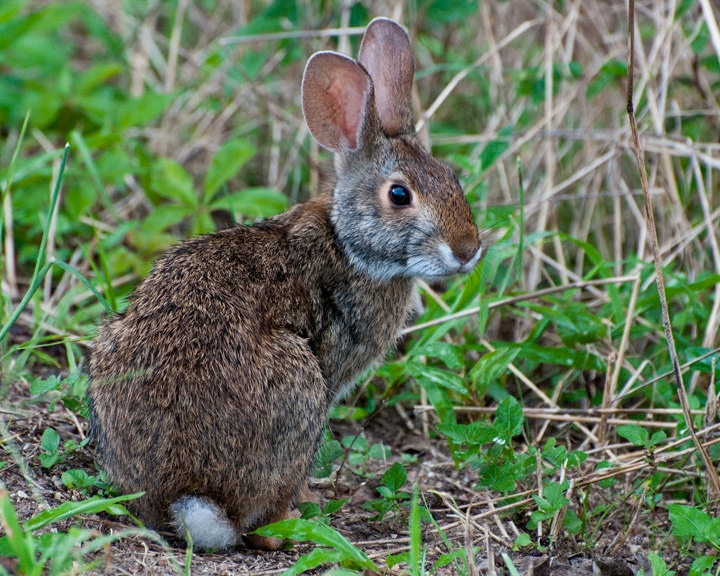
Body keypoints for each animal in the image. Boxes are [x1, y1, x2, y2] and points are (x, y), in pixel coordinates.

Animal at [87, 15, 486, 552]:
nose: (467, 250)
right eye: (400, 195)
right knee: (261, 519)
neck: (348, 243)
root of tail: (188, 496)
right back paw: (293, 521)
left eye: (451, 179)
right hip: (302, 386)